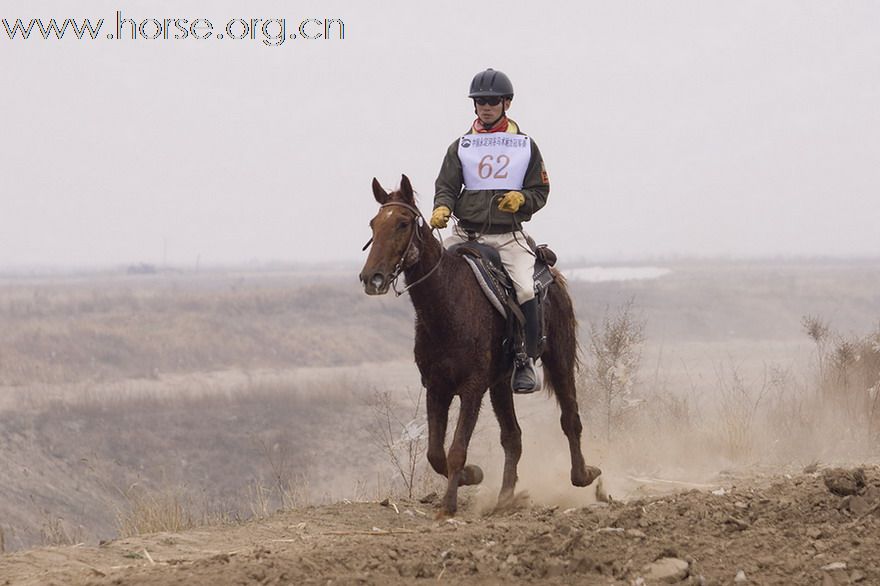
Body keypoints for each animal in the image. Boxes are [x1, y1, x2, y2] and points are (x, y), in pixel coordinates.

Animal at [360, 175, 600, 516]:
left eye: (403, 223)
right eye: (374, 224)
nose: (373, 278)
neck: (449, 305)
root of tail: (551, 272)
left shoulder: (472, 388)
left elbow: (457, 449)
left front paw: (448, 506)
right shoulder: (437, 387)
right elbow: (436, 453)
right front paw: (471, 476)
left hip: (559, 359)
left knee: (570, 419)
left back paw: (584, 475)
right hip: (500, 383)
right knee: (513, 437)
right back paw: (506, 498)